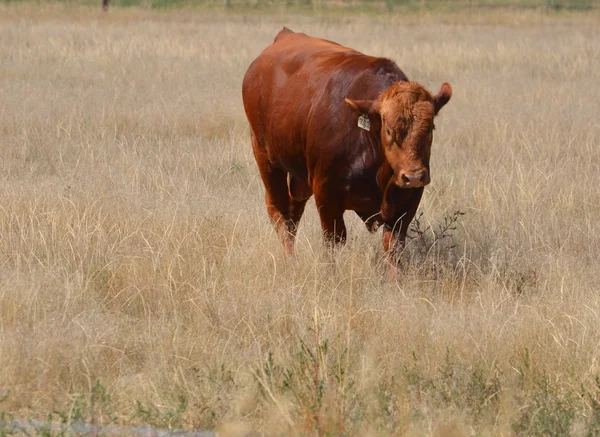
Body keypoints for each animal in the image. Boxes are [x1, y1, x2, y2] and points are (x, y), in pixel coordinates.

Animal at [240, 29, 450, 268]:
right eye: (388, 129)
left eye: (431, 127)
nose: (414, 176)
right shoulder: (327, 194)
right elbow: (333, 240)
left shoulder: (407, 201)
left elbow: (393, 246)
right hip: (266, 158)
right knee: (280, 210)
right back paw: (289, 258)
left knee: (294, 211)